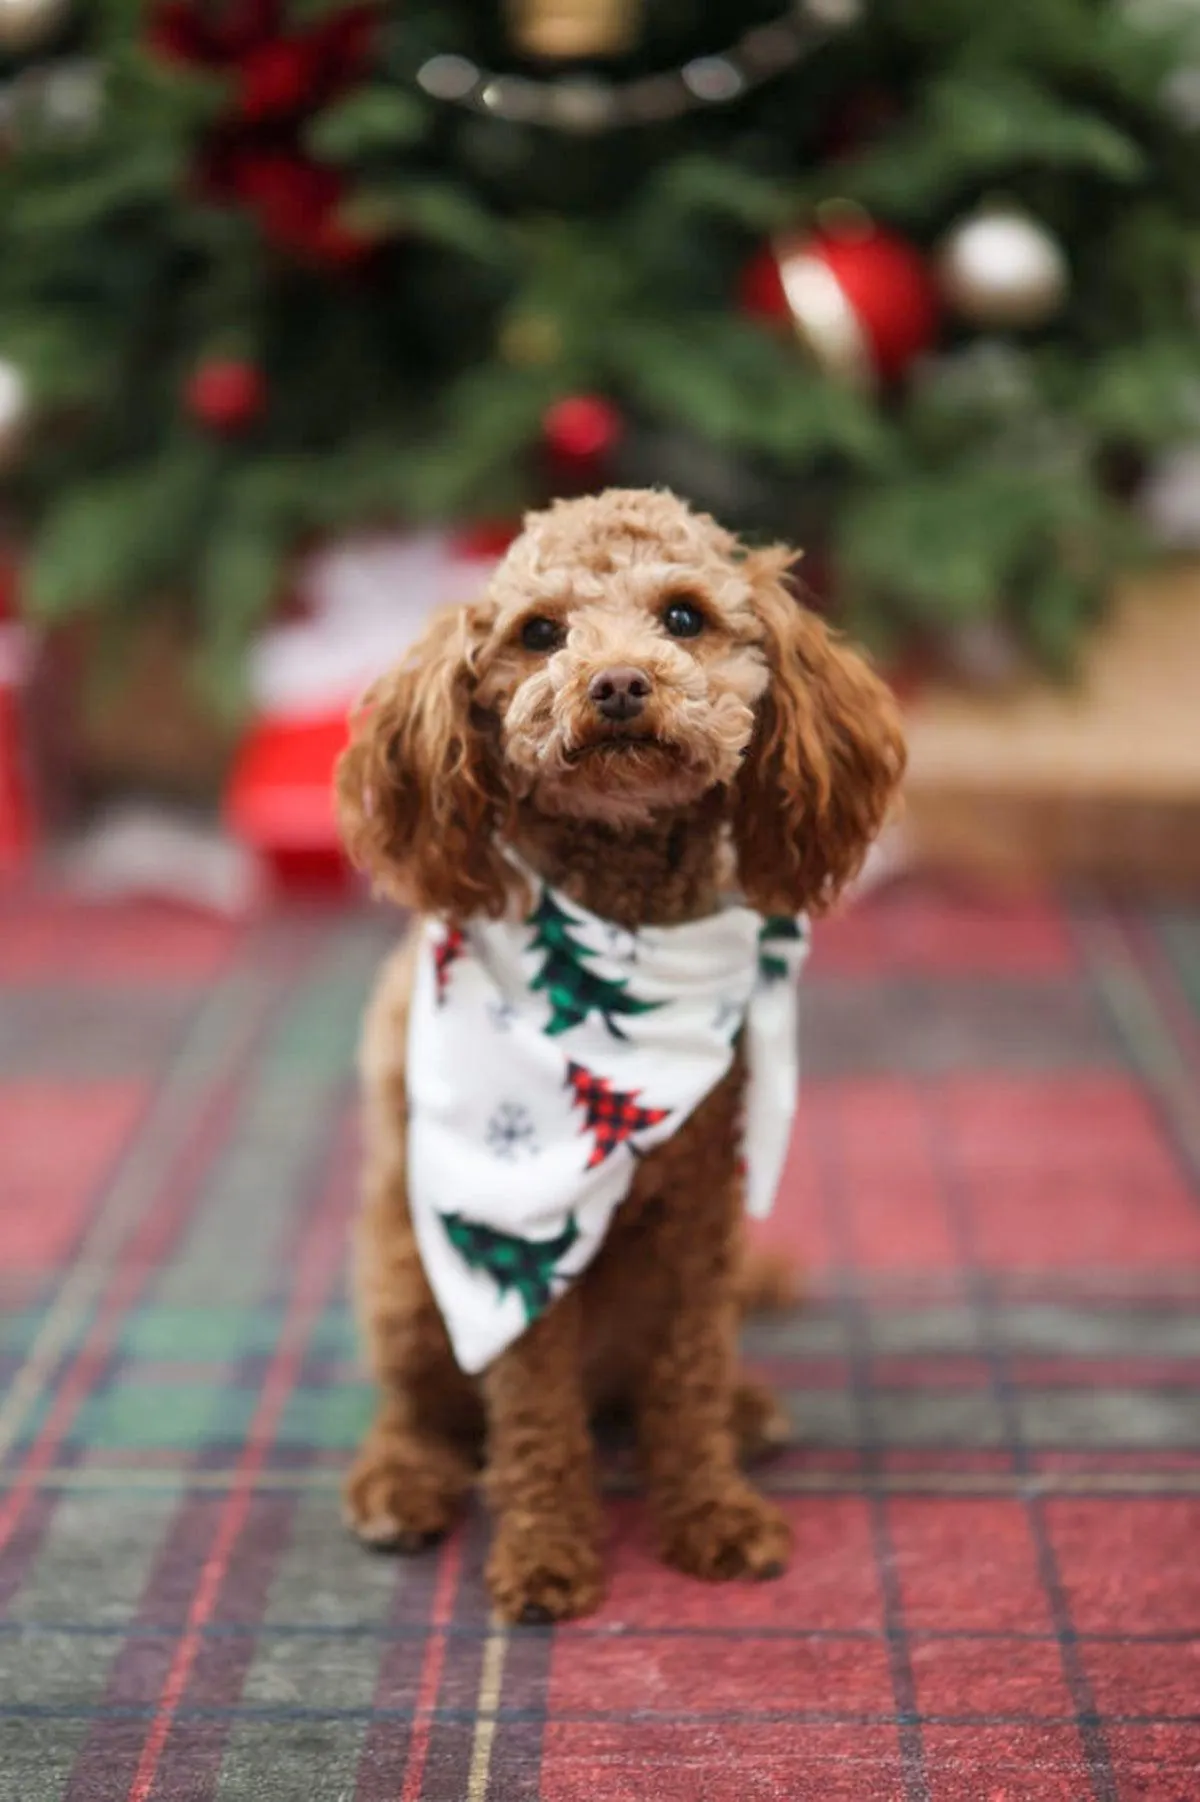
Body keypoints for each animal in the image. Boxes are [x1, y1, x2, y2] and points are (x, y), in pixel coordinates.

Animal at [331, 486, 900, 1629]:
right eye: (539, 631)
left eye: (684, 617)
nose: (621, 683)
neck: (622, 917)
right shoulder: (517, 1244)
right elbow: (534, 1414)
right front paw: (547, 1551)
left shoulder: (702, 1221)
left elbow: (687, 1380)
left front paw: (711, 1510)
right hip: (406, 1273)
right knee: (418, 1401)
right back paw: (400, 1480)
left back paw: (745, 1408)